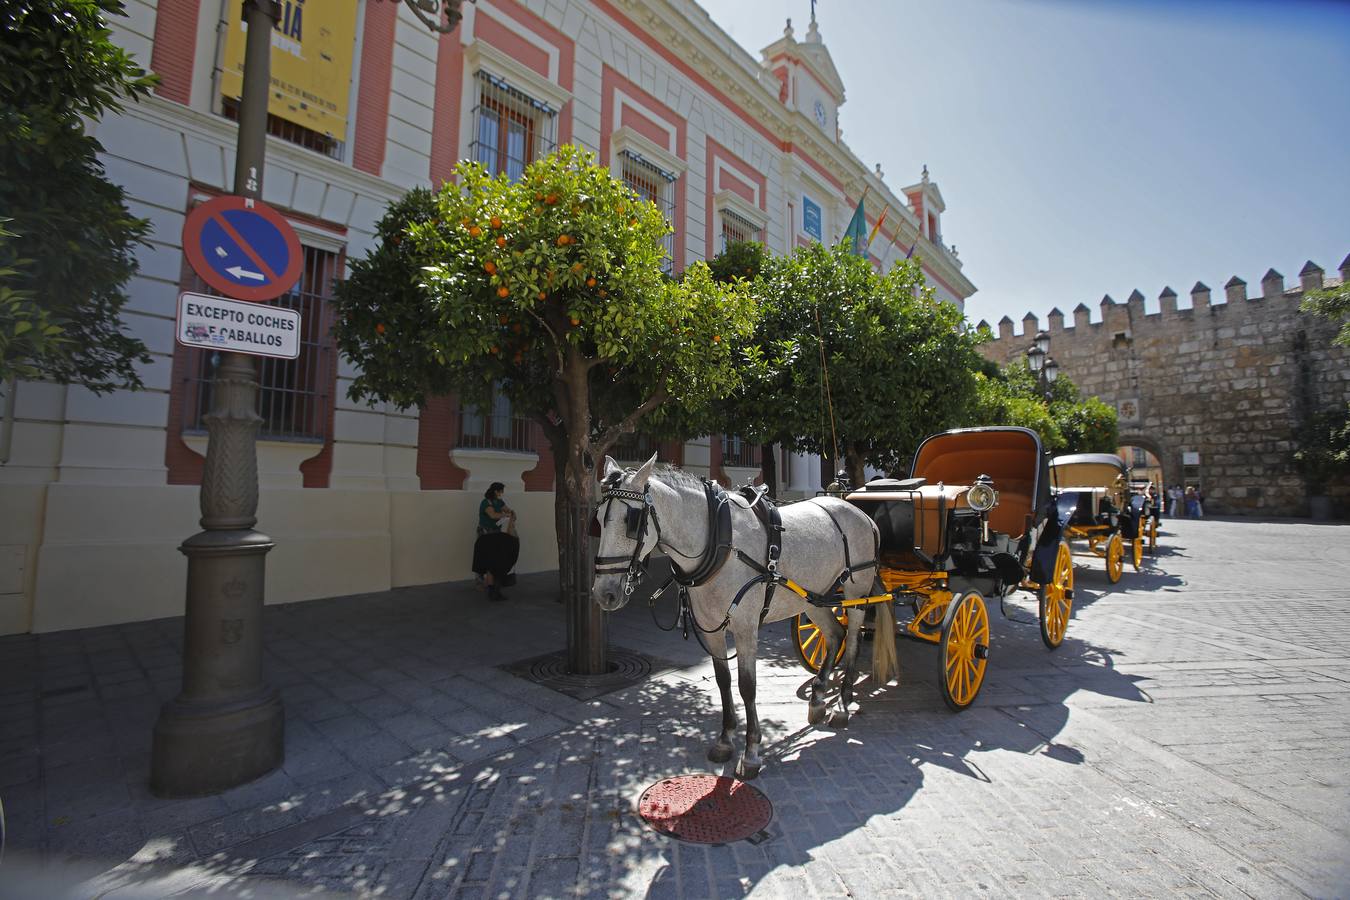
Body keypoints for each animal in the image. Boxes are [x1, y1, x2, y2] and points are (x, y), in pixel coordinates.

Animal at [588, 453, 880, 777]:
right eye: (598, 521)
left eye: (632, 521)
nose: (604, 593)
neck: (720, 543)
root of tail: (859, 511)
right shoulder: (711, 629)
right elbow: (723, 680)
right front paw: (725, 739)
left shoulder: (745, 628)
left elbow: (747, 686)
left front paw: (751, 751)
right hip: (813, 599)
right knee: (834, 635)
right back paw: (817, 698)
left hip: (856, 592)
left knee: (852, 640)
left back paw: (842, 704)